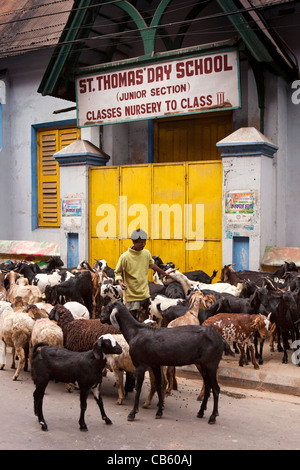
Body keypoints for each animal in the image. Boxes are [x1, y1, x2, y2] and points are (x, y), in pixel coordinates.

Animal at [101, 302, 234, 426]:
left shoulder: (140, 365)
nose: (101, 318)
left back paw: (212, 417)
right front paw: (159, 412)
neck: (136, 332)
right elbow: (159, 385)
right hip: (204, 365)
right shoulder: (154, 364)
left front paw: (132, 413)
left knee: (216, 389)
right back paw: (201, 412)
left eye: (108, 308)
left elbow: (138, 388)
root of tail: (222, 340)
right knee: (208, 387)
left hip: (211, 364)